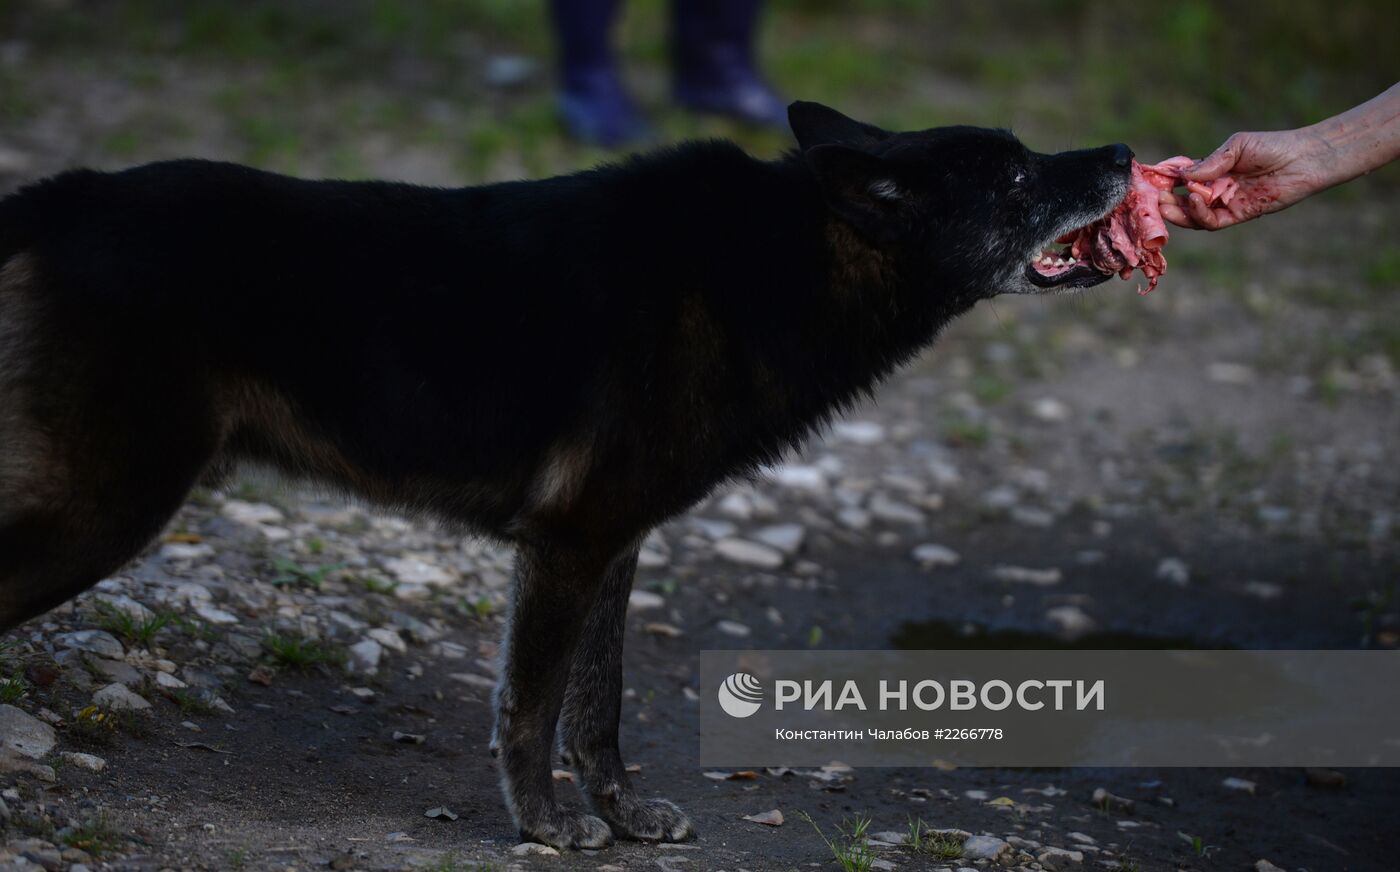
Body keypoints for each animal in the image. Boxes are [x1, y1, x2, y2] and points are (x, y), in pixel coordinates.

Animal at [0, 102, 1131, 845]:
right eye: (1017, 178)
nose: (1124, 150)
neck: (787, 258)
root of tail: (67, 196)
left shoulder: (611, 546)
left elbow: (599, 707)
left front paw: (621, 813)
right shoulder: (569, 545)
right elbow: (533, 703)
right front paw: (544, 824)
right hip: (104, 506)